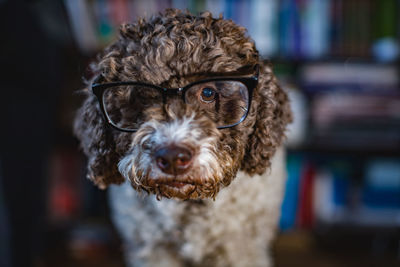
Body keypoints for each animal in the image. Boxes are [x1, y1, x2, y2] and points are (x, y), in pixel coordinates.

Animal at [74, 8, 290, 267]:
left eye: (208, 92)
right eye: (141, 96)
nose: (172, 158)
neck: (190, 205)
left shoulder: (241, 250)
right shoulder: (152, 249)